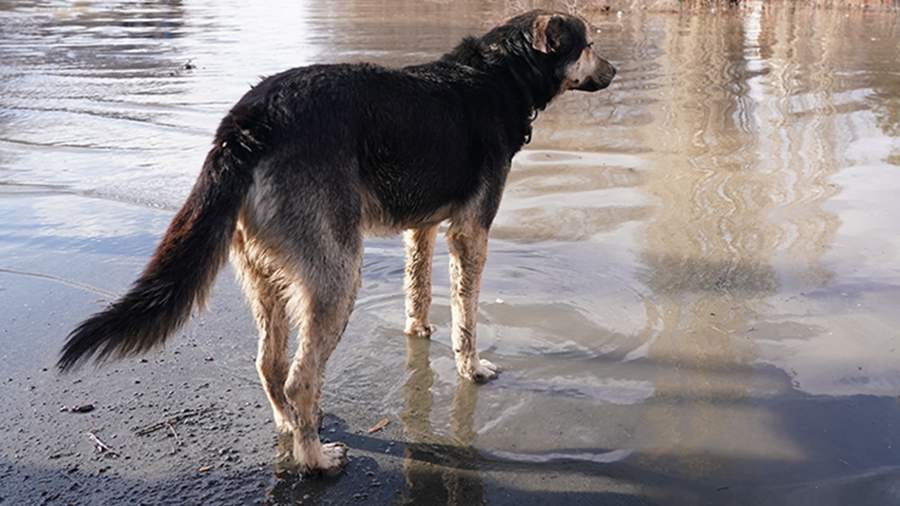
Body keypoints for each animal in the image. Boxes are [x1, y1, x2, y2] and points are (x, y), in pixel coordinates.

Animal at [59, 8, 616, 474]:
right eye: (589, 44)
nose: (613, 72)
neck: (503, 74)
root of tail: (248, 123)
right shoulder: (470, 232)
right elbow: (467, 317)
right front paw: (471, 368)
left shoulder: (421, 228)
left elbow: (418, 289)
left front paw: (418, 330)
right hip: (338, 276)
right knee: (300, 376)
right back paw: (316, 459)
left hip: (263, 274)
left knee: (269, 364)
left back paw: (291, 425)